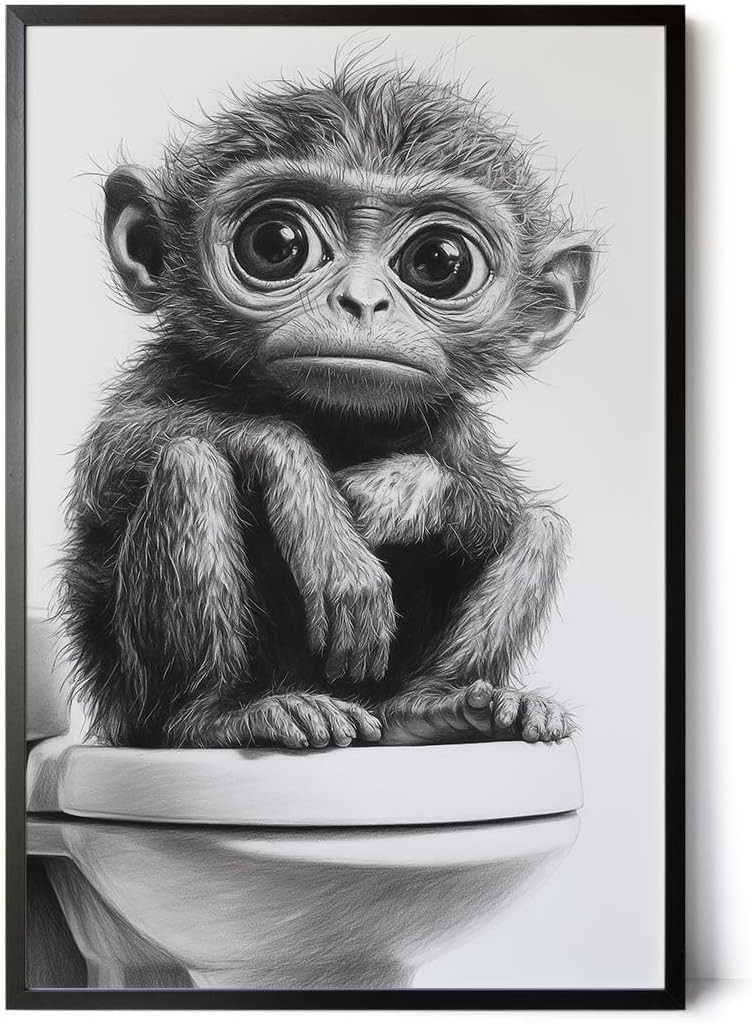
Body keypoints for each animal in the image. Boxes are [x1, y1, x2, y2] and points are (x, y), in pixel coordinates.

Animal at [60, 63, 595, 750]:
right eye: (275, 243)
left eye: (438, 262)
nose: (361, 301)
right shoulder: (166, 367)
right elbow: (110, 459)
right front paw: (313, 504)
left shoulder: (459, 424)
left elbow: (498, 502)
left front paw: (402, 492)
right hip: (131, 708)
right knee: (190, 463)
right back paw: (221, 713)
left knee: (540, 526)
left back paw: (434, 707)